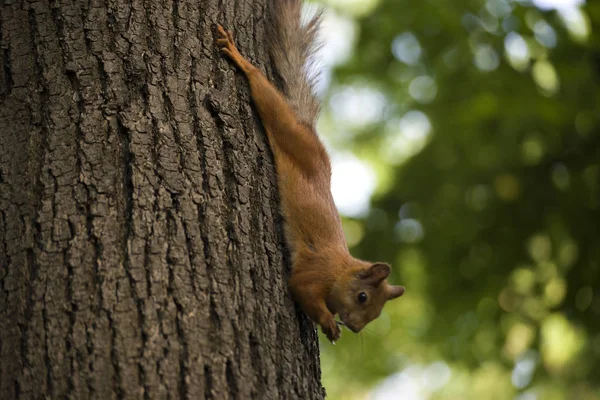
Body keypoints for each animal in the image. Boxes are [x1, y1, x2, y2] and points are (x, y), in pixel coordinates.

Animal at [214, 0, 404, 344]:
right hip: (289, 131)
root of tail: (311, 134)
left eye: (376, 313)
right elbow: (300, 289)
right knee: (268, 98)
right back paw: (241, 60)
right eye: (363, 297)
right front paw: (328, 322)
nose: (354, 327)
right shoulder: (314, 271)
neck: (340, 269)